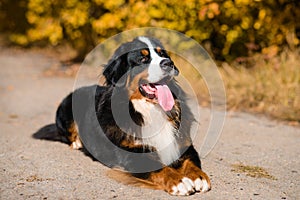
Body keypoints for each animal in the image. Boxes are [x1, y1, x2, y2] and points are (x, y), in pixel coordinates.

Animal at [34, 36, 211, 195]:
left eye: (163, 54)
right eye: (143, 58)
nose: (168, 63)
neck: (149, 109)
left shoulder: (183, 143)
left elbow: (191, 162)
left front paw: (199, 177)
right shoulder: (132, 154)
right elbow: (161, 168)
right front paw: (179, 181)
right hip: (66, 106)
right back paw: (78, 142)